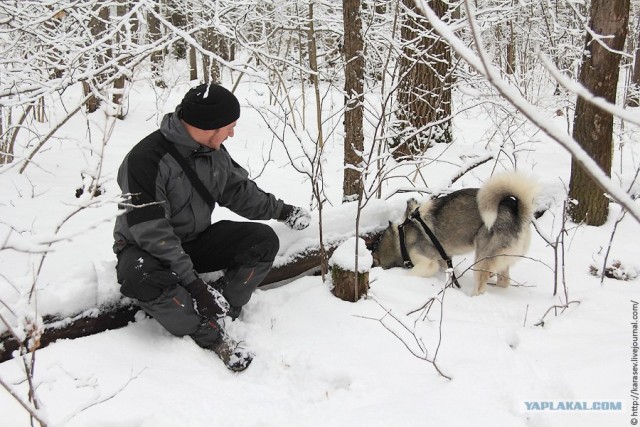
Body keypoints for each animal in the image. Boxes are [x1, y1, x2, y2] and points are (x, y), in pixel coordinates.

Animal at [370, 172, 540, 296]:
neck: (400, 237)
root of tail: (517, 212)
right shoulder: (443, 259)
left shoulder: (427, 264)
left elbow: (410, 274)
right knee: (504, 281)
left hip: (481, 257)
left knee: (480, 287)